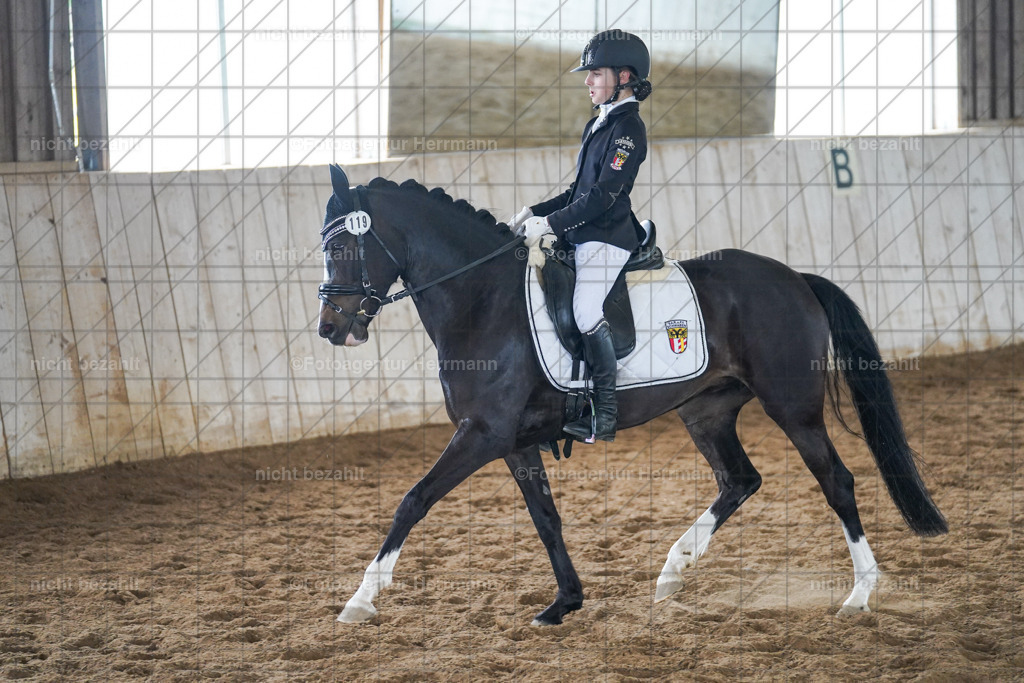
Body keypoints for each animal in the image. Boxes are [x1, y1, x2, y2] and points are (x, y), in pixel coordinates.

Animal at [315, 164, 947, 626]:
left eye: (344, 249)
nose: (331, 329)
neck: (482, 299)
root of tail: (795, 279)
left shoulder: (482, 434)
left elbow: (413, 500)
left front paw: (359, 601)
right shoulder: (514, 441)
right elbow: (547, 518)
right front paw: (564, 603)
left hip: (793, 409)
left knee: (836, 482)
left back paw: (858, 596)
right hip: (707, 410)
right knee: (740, 480)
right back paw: (673, 570)